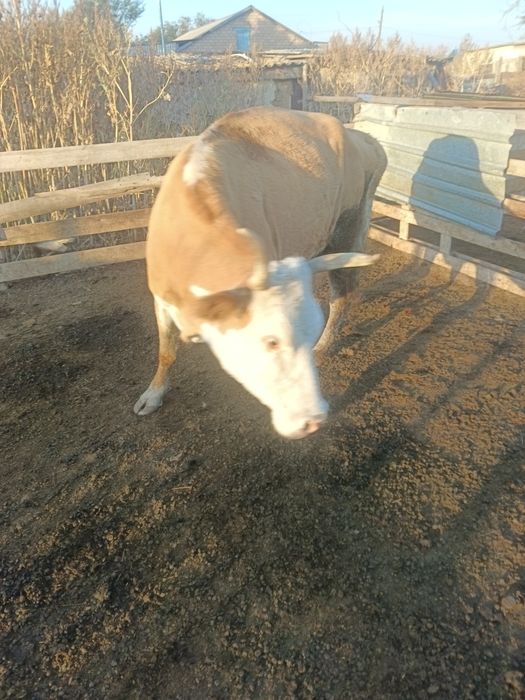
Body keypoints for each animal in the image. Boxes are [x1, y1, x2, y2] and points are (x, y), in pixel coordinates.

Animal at [134, 106, 386, 439]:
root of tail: (362, 138)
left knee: (342, 297)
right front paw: (154, 393)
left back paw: (325, 345)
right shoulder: (160, 297)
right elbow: (166, 350)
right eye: (272, 341)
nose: (314, 419)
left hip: (348, 228)